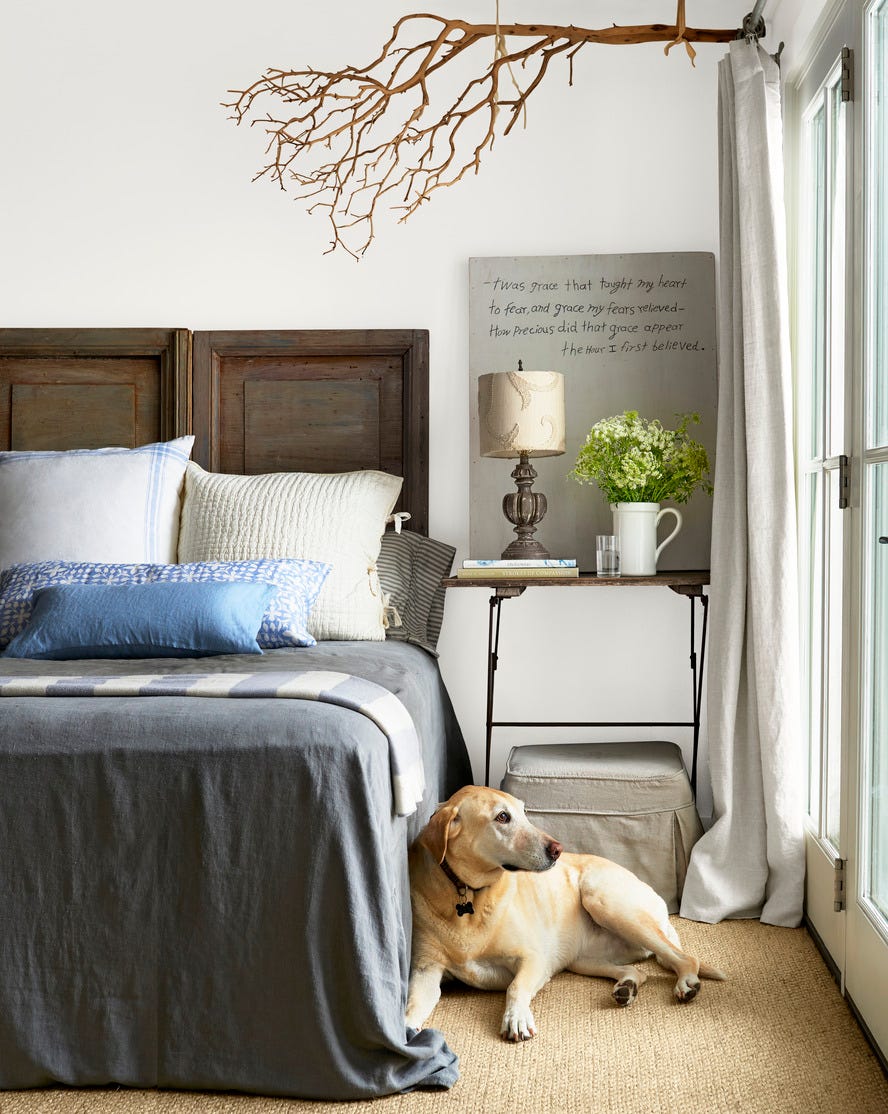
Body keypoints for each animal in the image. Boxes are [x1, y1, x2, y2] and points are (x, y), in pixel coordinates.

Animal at [405, 788, 721, 1038]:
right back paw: (627, 986)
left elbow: (515, 987)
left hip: (606, 901)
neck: (468, 894)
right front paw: (406, 1029)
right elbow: (414, 1002)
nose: (557, 849)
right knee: (638, 972)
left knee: (685, 958)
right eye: (502, 817)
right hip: (582, 959)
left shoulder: (534, 958)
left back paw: (686, 983)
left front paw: (516, 1018)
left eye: (524, 812)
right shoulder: (426, 970)